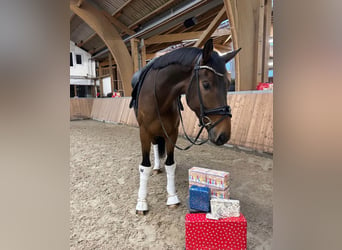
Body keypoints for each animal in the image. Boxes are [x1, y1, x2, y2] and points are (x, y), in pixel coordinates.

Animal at [130, 39, 240, 215]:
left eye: (228, 83)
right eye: (206, 84)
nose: (224, 135)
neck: (158, 98)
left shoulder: (172, 133)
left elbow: (170, 164)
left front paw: (172, 198)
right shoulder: (144, 132)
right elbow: (144, 167)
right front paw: (141, 203)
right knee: (155, 145)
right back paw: (156, 167)